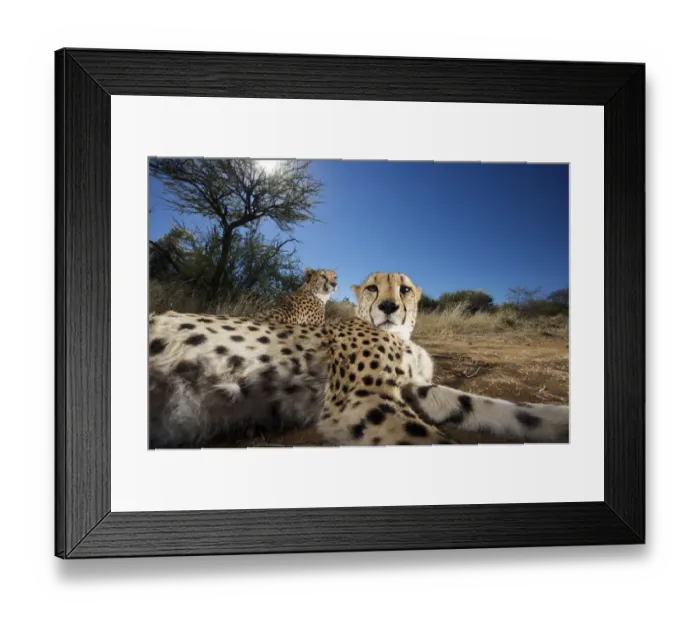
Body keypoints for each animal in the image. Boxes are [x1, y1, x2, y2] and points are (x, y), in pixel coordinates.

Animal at [147, 272, 569, 448]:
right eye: (371, 288)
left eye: (404, 289)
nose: (388, 307)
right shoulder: (361, 401)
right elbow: (433, 440)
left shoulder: (415, 387)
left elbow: (496, 407)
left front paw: (559, 420)